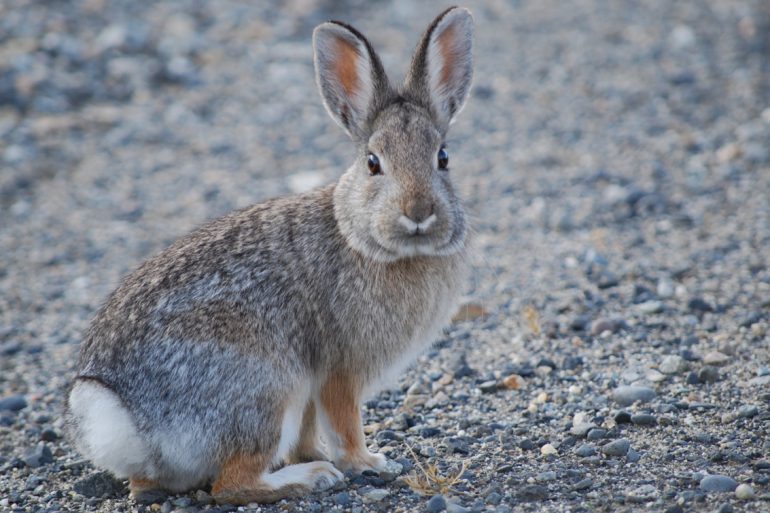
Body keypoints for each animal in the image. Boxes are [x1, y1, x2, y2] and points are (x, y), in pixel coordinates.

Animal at [65, 6, 474, 504]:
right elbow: (344, 422)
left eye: (443, 158)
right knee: (231, 484)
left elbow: (310, 429)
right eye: (373, 163)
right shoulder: (339, 369)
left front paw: (317, 453)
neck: (364, 239)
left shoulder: (315, 389)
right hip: (267, 388)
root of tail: (128, 419)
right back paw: (310, 478)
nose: (418, 213)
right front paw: (368, 462)